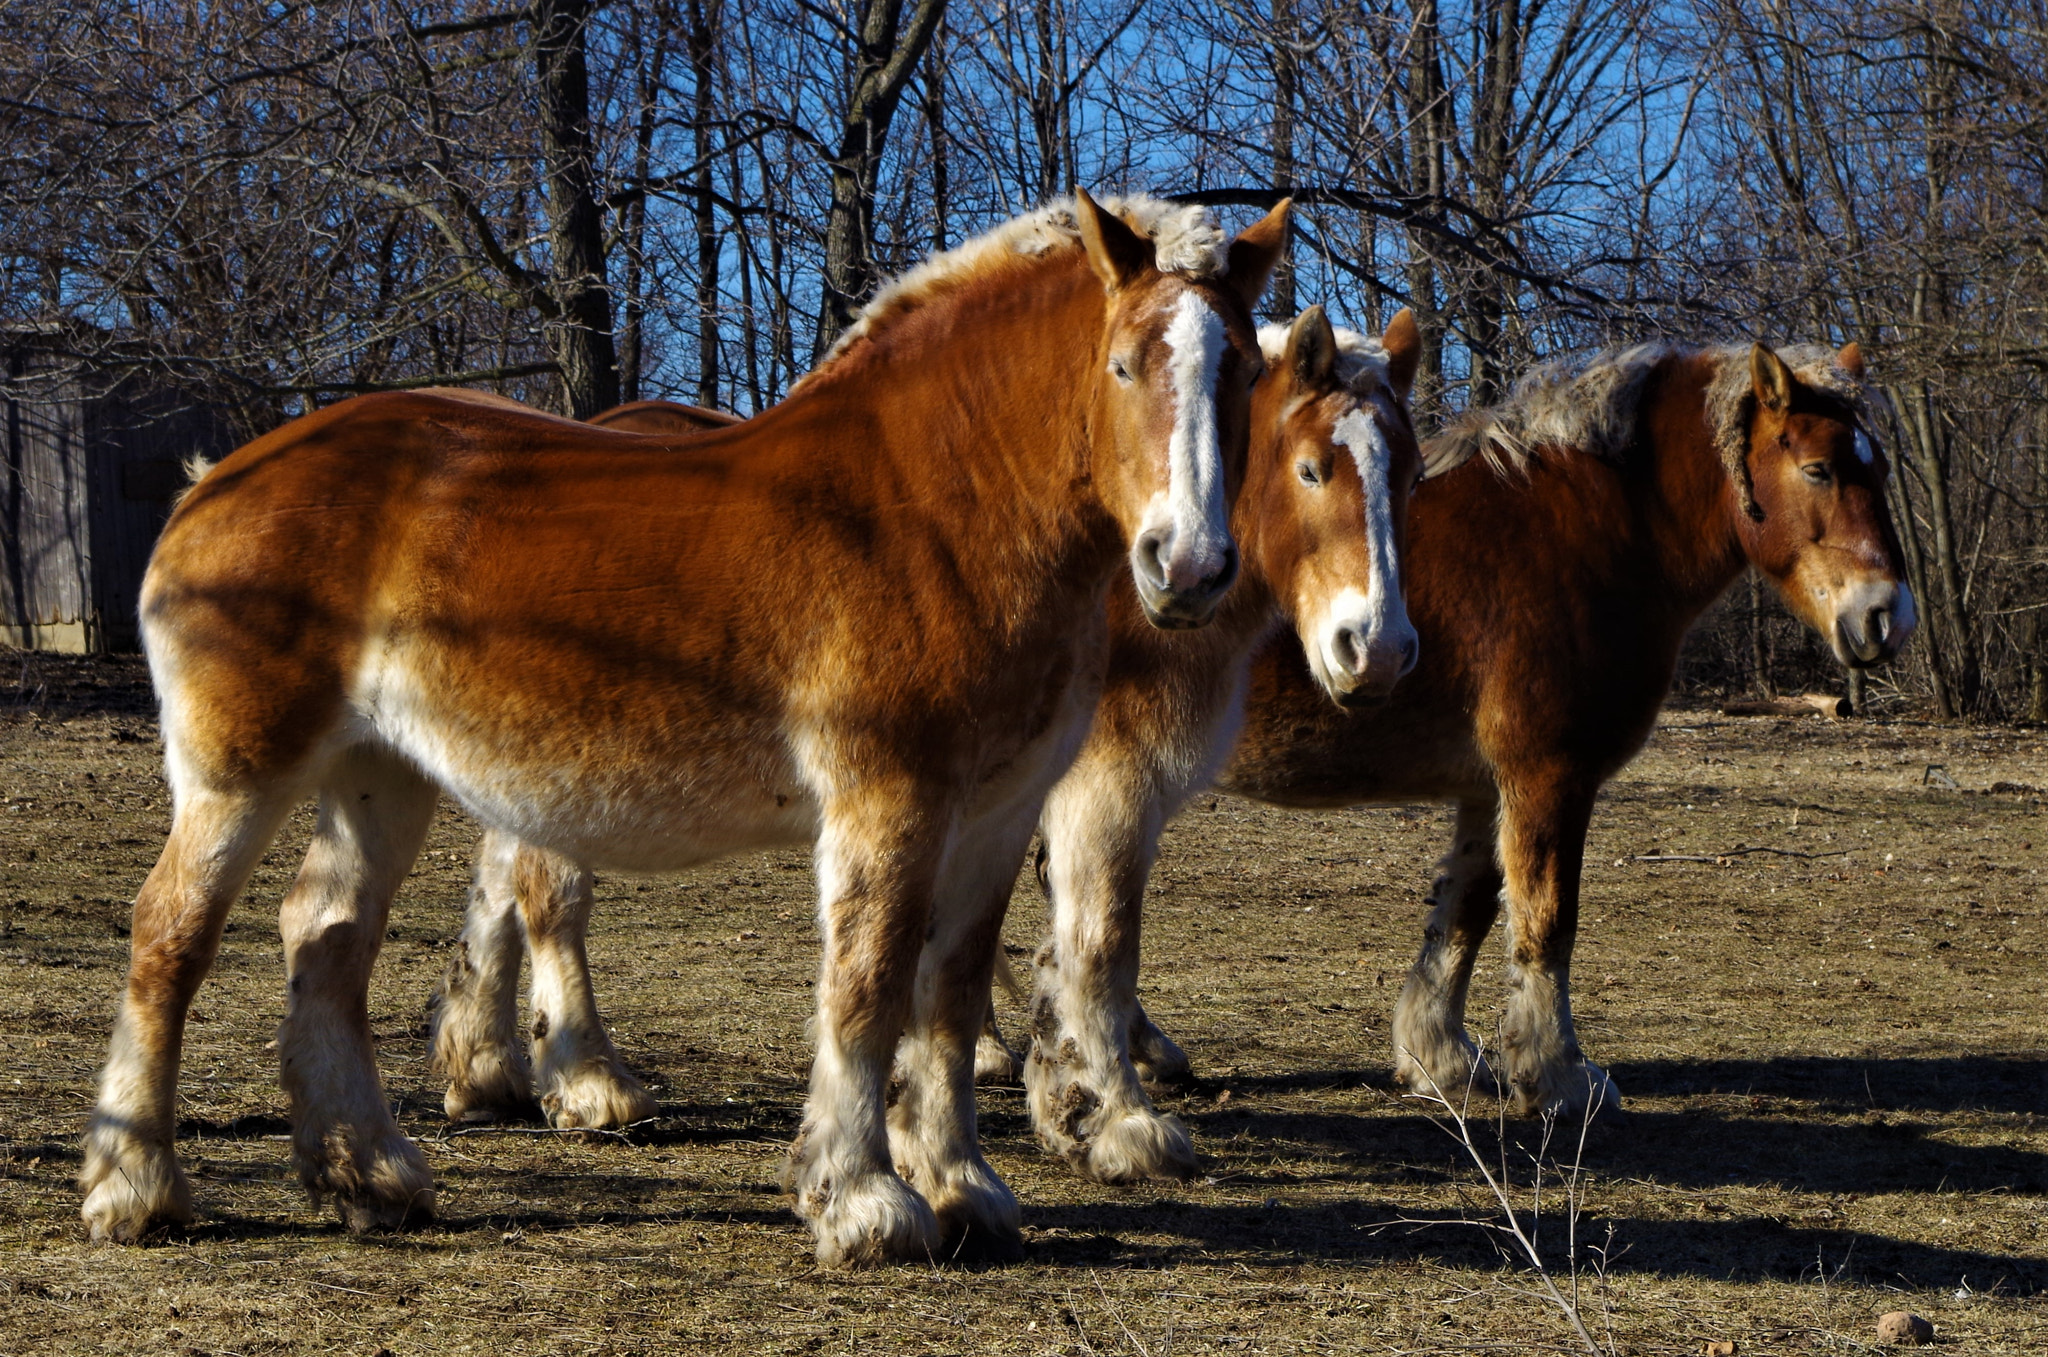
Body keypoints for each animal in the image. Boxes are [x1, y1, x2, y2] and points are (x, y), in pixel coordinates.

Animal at [92, 188, 1294, 1260]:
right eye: (1123, 364)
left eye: (1241, 371)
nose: (1187, 565)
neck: (929, 510)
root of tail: (214, 482)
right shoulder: (889, 802)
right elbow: (867, 988)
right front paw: (862, 1201)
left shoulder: (997, 814)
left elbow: (947, 998)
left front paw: (962, 1188)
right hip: (239, 774)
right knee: (170, 934)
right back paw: (137, 1185)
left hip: (378, 773)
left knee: (326, 935)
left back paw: (366, 1174)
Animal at [421, 307, 1425, 1146]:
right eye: (1312, 467)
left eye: (1408, 478)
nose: (1376, 649)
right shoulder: (1101, 783)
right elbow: (1098, 940)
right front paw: (1105, 1105)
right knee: (547, 887)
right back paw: (589, 1078)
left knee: (501, 875)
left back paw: (486, 1069)